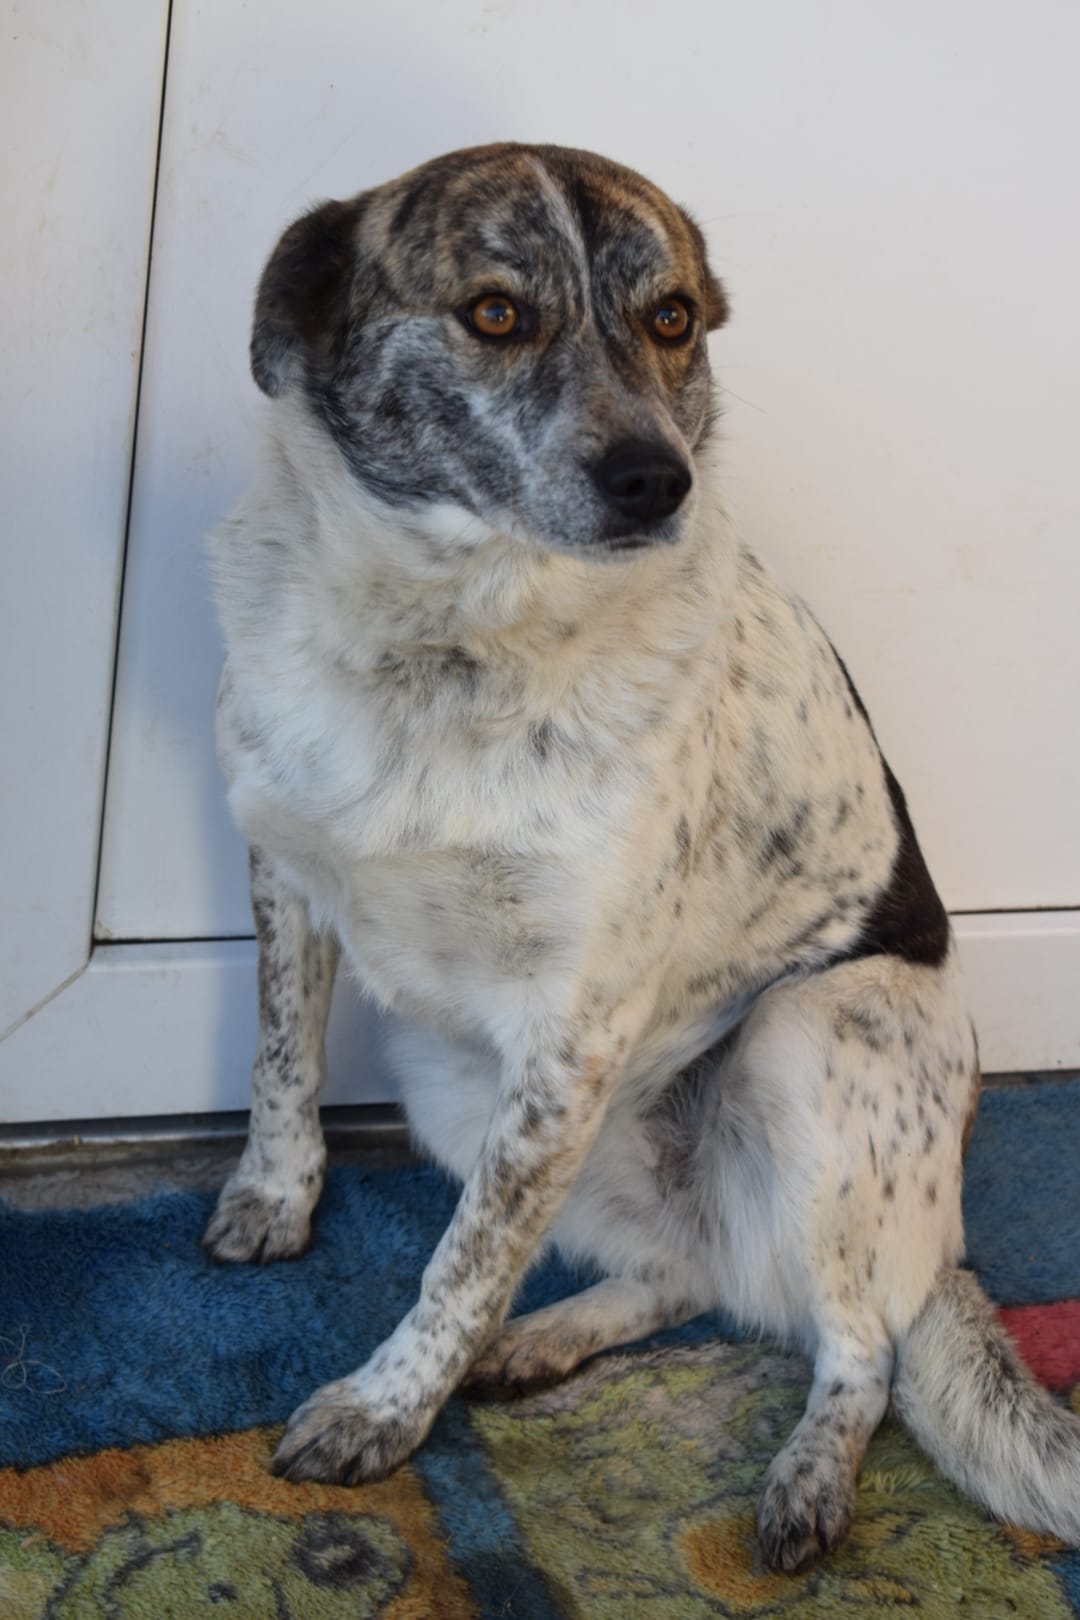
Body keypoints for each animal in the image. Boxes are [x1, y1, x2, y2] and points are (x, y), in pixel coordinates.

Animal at [204, 142, 1080, 1571]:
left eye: (671, 318)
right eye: (495, 311)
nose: (654, 480)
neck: (452, 640)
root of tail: (943, 1229)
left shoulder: (573, 1030)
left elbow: (461, 1262)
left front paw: (383, 1408)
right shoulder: (285, 871)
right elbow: (283, 1063)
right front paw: (273, 1200)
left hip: (809, 1040)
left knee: (862, 1352)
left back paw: (804, 1485)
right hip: (452, 1082)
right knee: (686, 1275)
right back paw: (539, 1344)